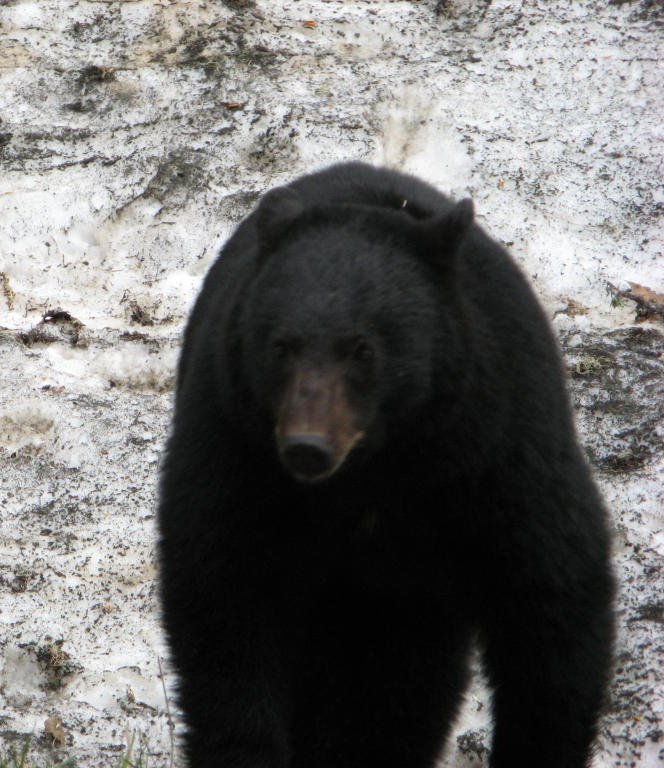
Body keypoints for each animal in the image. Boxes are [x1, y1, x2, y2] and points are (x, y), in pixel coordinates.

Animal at [158, 162, 614, 768]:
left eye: (363, 349)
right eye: (281, 346)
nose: (306, 446)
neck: (373, 471)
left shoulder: (498, 445)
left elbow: (551, 592)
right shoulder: (234, 443)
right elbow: (223, 591)